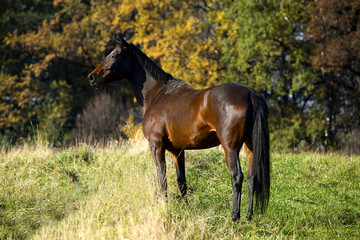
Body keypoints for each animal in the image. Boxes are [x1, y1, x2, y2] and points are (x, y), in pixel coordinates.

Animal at [88, 36, 270, 221]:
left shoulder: (156, 146)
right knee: (252, 178)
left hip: (230, 148)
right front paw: (186, 210)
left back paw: (234, 216)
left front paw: (164, 208)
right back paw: (248, 216)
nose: (92, 77)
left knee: (237, 176)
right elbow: (182, 182)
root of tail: (250, 94)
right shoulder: (177, 151)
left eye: (115, 55)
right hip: (250, 146)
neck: (157, 94)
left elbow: (162, 180)